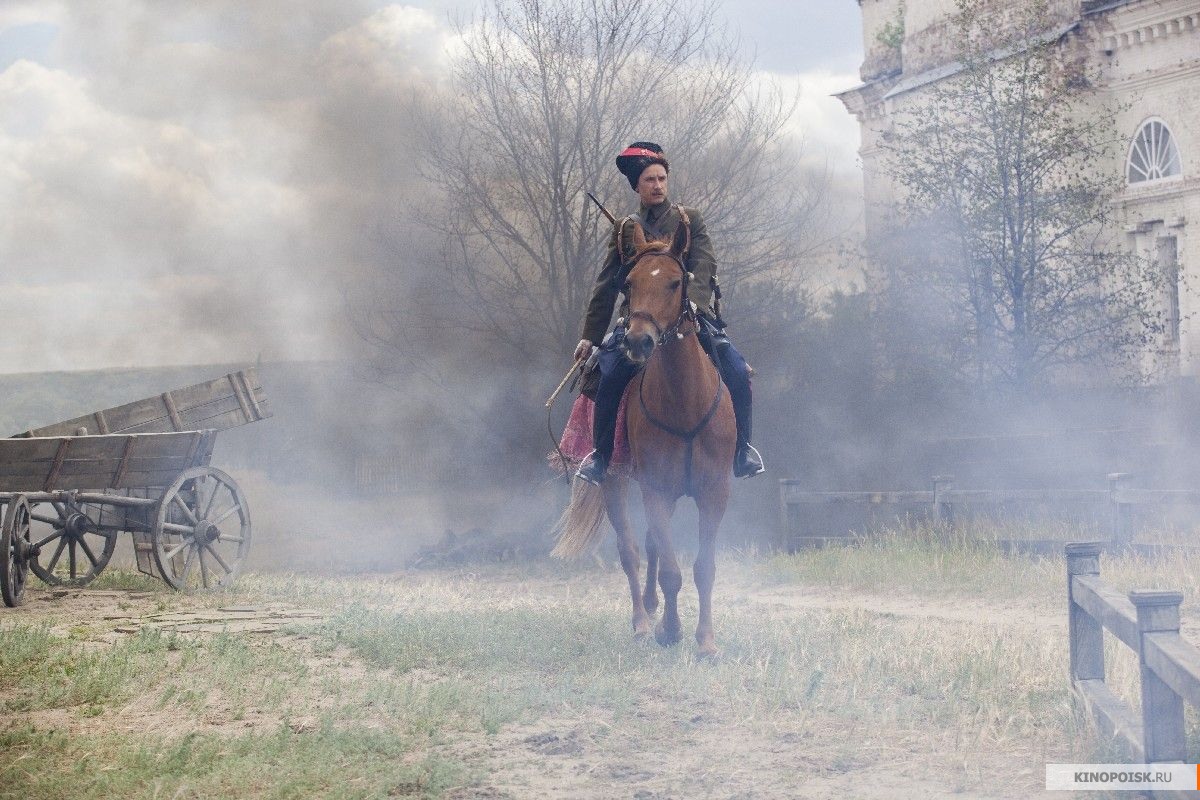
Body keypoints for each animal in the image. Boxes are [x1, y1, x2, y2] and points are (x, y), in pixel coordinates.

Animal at [554, 219, 739, 657]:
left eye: (675, 282)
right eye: (629, 282)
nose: (638, 341)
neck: (684, 401)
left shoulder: (714, 492)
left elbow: (704, 567)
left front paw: (706, 642)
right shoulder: (655, 488)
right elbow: (671, 570)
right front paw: (670, 632)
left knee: (653, 544)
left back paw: (653, 610)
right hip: (614, 481)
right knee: (631, 550)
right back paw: (641, 622)